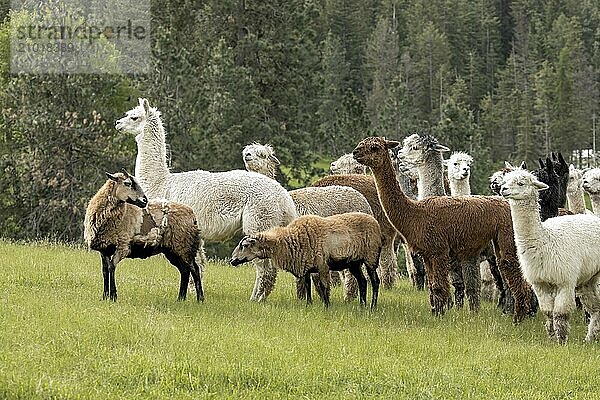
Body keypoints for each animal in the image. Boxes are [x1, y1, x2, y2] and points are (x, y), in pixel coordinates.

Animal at [82, 170, 205, 302]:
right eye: (127, 183)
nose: (145, 200)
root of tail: (193, 215)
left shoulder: (122, 246)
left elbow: (111, 267)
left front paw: (113, 296)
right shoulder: (104, 249)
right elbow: (105, 271)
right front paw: (105, 296)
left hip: (185, 245)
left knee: (195, 270)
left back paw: (200, 299)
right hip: (173, 250)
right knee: (185, 271)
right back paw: (180, 299)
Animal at [229, 212, 380, 310]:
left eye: (245, 245)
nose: (232, 260)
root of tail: (374, 221)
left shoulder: (322, 266)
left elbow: (324, 286)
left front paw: (327, 306)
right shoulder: (305, 266)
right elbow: (307, 286)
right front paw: (309, 304)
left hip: (371, 257)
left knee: (375, 281)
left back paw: (372, 306)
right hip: (354, 263)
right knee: (362, 281)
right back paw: (362, 305)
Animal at [352, 137, 536, 322]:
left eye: (374, 148)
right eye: (361, 143)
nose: (355, 152)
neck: (415, 213)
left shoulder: (439, 251)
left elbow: (440, 288)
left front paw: (440, 318)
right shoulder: (426, 255)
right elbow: (433, 288)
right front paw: (436, 314)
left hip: (507, 238)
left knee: (516, 276)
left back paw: (518, 319)